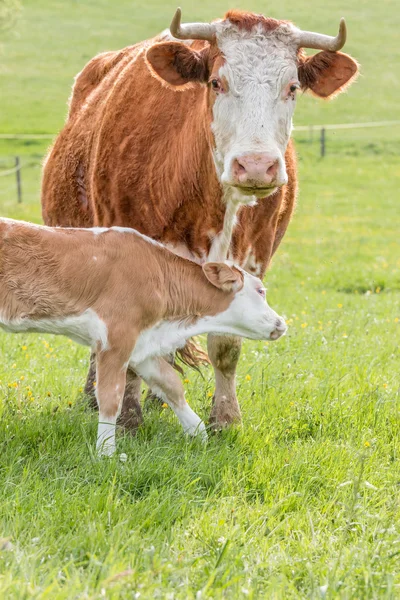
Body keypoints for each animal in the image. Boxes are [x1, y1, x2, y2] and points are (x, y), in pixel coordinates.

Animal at [0, 218, 288, 458]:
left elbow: (171, 384)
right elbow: (111, 397)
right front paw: (107, 454)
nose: (281, 323)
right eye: (260, 290)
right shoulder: (117, 337)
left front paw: (198, 433)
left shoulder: (141, 345)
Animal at [41, 10, 360, 432]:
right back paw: (95, 395)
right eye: (216, 82)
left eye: (292, 87)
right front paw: (127, 418)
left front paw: (225, 419)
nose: (255, 166)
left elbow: (225, 344)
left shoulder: (250, 260)